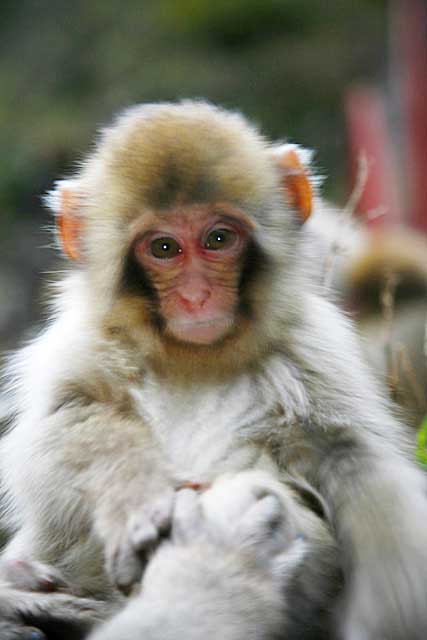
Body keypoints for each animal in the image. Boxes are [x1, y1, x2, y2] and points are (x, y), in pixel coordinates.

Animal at [0, 102, 427, 636]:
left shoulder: (315, 353)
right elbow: (61, 428)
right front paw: (138, 495)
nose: (197, 296)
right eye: (164, 248)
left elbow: (355, 461)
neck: (193, 359)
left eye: (219, 239)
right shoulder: (82, 344)